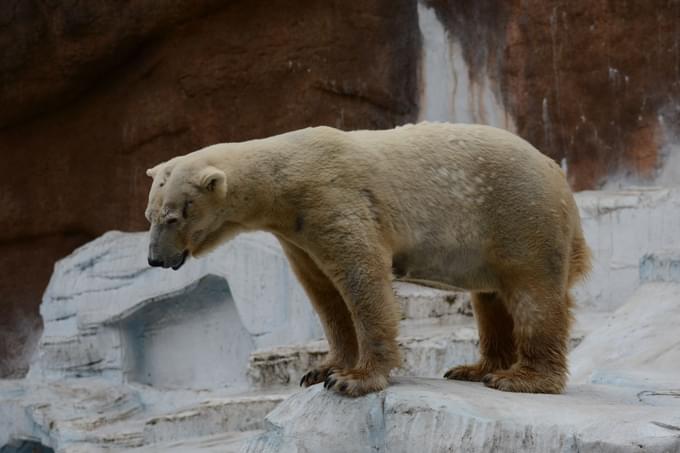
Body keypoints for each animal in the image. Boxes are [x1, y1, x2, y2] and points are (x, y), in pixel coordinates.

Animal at [145, 122, 588, 396]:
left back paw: (520, 378)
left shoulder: (331, 198)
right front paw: (320, 370)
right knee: (491, 297)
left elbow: (362, 276)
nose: (153, 259)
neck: (285, 175)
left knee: (532, 293)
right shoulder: (297, 233)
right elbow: (324, 293)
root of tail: (556, 172)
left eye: (171, 217)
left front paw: (353, 380)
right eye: (149, 215)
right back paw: (474, 369)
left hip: (517, 213)